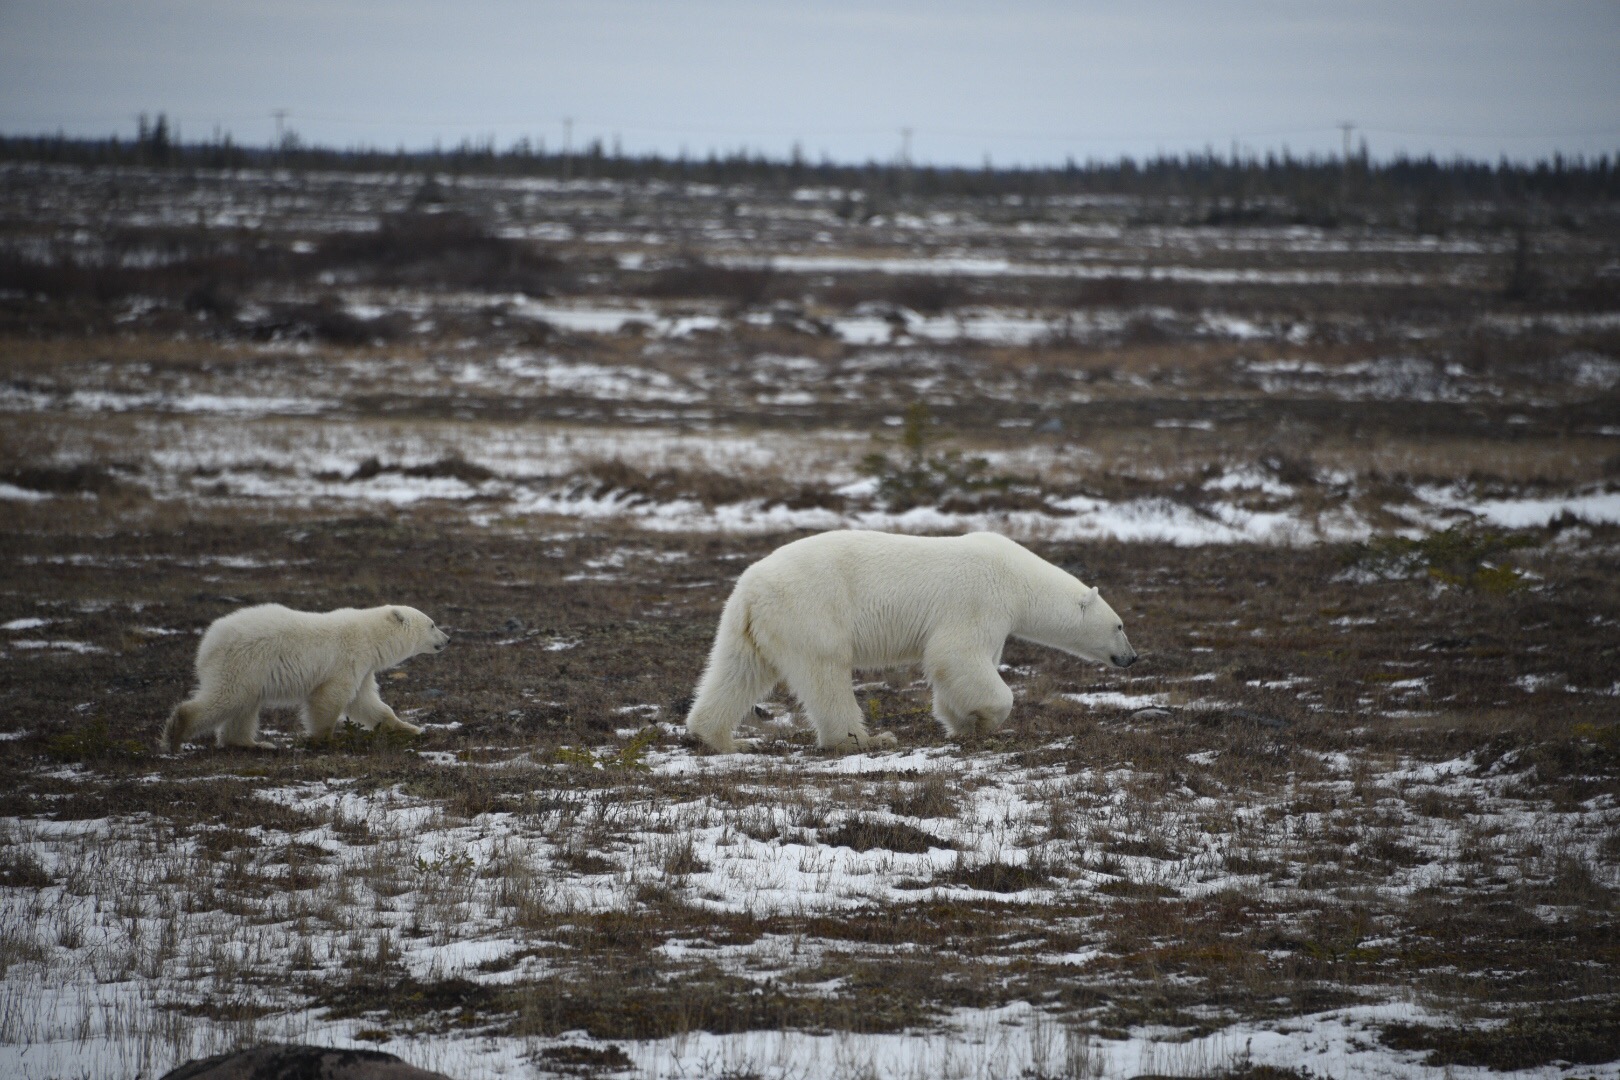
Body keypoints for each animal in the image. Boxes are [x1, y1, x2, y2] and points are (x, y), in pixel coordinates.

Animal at [162, 599, 450, 751]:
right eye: (432, 624)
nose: (448, 639)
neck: (371, 635)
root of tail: (209, 641)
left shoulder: (364, 667)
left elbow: (366, 703)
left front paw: (411, 728)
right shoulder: (347, 658)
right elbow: (330, 698)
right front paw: (324, 739)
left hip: (249, 671)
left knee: (245, 704)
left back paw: (252, 744)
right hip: (242, 662)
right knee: (227, 697)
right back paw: (176, 733)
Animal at [686, 531, 1140, 751]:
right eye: (1120, 626)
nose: (1132, 658)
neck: (1018, 578)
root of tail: (751, 590)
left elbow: (965, 667)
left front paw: (962, 722)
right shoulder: (980, 599)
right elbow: (955, 655)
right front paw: (986, 719)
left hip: (750, 625)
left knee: (737, 671)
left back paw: (725, 739)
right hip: (811, 611)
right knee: (825, 674)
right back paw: (864, 739)